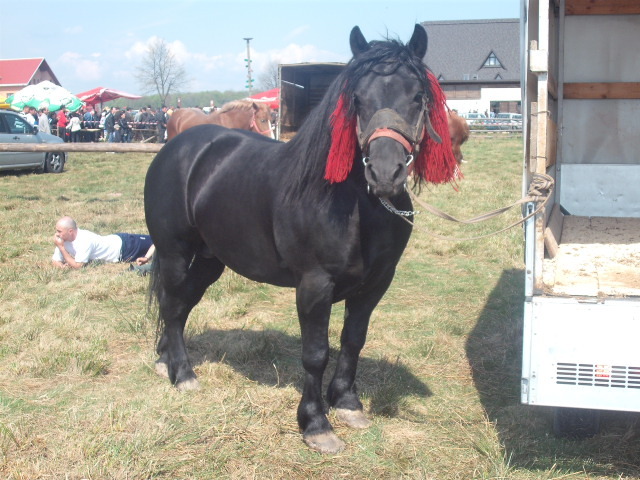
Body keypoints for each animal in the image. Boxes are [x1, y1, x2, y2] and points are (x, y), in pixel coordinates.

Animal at [146, 25, 456, 454]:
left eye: (417, 97)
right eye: (357, 99)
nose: (385, 173)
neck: (356, 205)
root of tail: (176, 147)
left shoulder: (377, 283)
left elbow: (353, 340)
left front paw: (347, 403)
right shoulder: (314, 285)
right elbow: (315, 353)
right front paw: (315, 424)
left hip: (210, 260)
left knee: (180, 304)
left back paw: (166, 363)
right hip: (175, 252)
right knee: (173, 303)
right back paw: (184, 375)